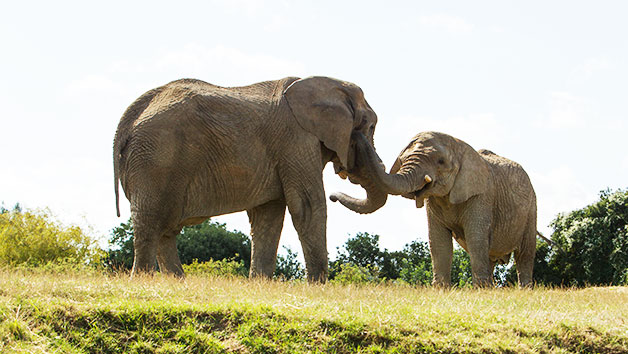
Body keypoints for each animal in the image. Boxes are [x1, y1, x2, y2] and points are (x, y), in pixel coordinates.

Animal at [114, 76, 388, 282]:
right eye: (371, 127)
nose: (335, 194)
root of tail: (127, 121)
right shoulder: (297, 140)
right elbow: (307, 206)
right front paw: (317, 286)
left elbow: (268, 216)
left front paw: (260, 283)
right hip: (156, 159)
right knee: (151, 222)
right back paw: (143, 280)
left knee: (165, 229)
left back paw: (177, 282)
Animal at [334, 131, 540, 286]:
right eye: (402, 160)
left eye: (440, 162)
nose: (332, 197)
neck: (459, 145)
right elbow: (439, 241)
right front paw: (441, 290)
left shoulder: (482, 195)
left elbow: (475, 237)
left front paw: (479, 291)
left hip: (532, 207)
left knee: (524, 252)